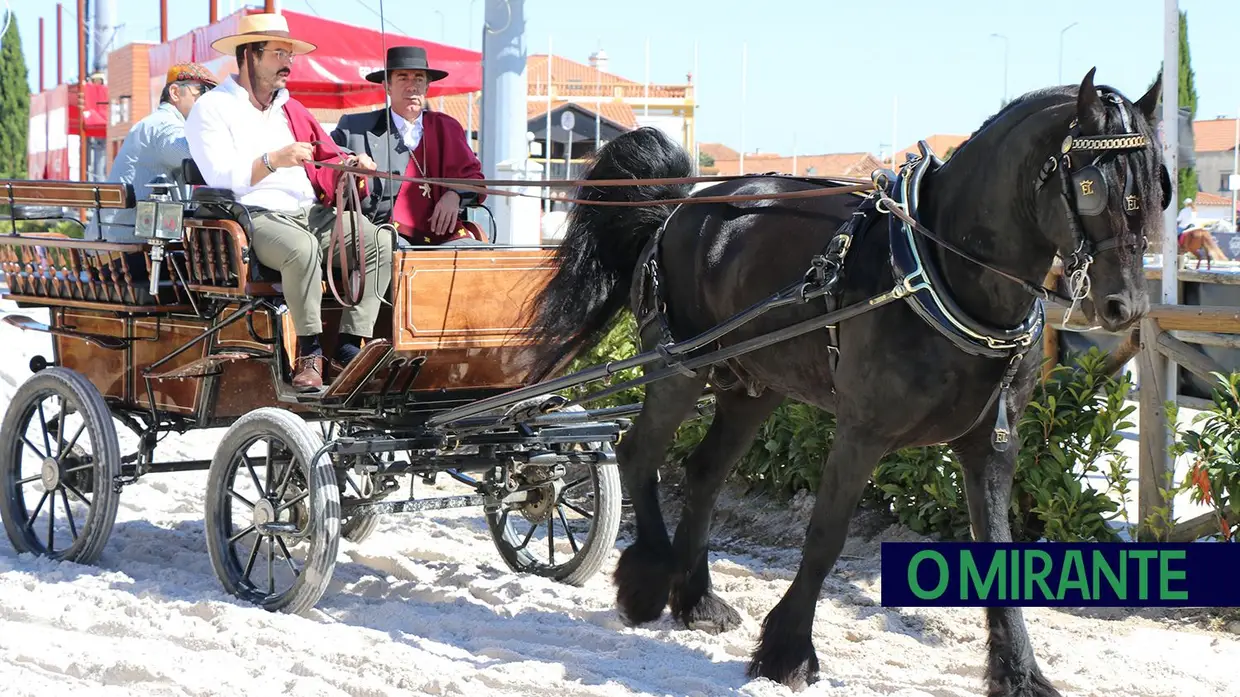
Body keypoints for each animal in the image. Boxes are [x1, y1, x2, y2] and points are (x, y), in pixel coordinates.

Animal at [525, 67, 1170, 689]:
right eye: (1093, 186)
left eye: (1157, 184)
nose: (1126, 306)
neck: (941, 273)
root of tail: (679, 210)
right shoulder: (862, 432)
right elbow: (825, 535)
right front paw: (787, 651)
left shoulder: (992, 447)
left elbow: (997, 552)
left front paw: (1020, 673)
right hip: (682, 369)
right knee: (639, 454)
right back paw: (648, 583)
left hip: (753, 389)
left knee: (704, 473)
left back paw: (698, 599)